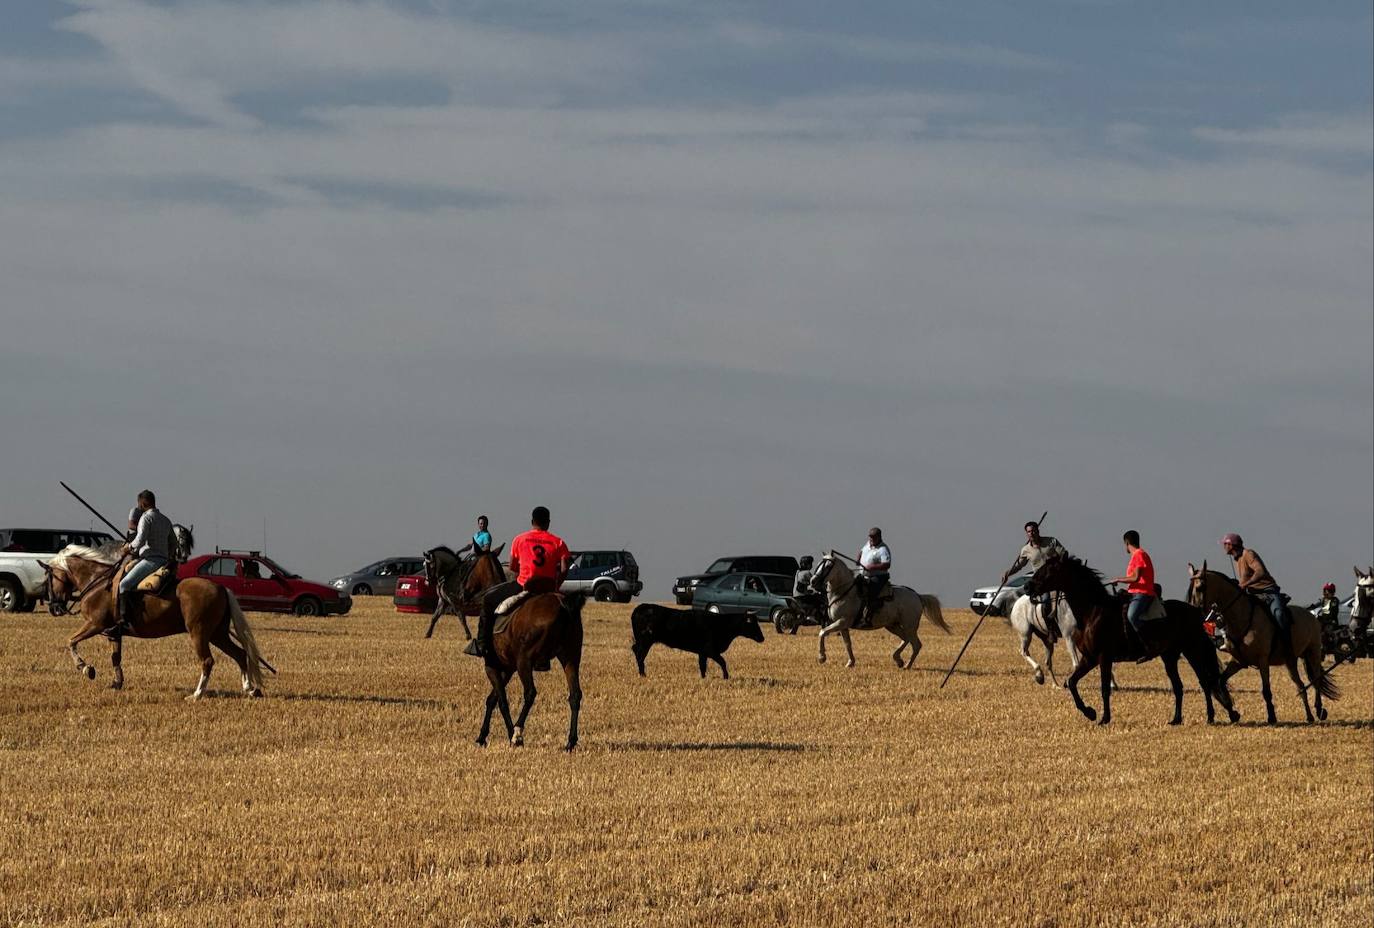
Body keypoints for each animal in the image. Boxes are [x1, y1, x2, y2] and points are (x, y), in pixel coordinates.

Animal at [41, 547, 272, 701]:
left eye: (49, 578)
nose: (54, 608)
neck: (97, 582)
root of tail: (221, 588)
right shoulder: (113, 633)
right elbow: (116, 657)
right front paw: (117, 683)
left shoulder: (95, 625)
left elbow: (71, 641)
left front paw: (86, 668)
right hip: (218, 634)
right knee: (240, 654)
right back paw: (250, 689)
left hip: (199, 633)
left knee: (207, 661)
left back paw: (196, 695)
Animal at [475, 591, 588, 753]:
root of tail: (562, 603)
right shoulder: (508, 669)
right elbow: (492, 699)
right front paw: (482, 737)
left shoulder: (492, 667)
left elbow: (501, 701)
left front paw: (512, 736)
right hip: (570, 657)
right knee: (575, 695)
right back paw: (570, 743)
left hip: (525, 661)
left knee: (530, 693)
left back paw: (517, 733)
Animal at [807, 552, 950, 668]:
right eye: (818, 564)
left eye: (827, 566)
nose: (812, 581)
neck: (844, 592)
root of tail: (917, 596)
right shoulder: (842, 626)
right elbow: (847, 644)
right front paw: (850, 663)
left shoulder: (842, 622)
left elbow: (822, 632)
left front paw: (822, 658)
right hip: (892, 625)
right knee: (906, 639)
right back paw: (898, 659)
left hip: (910, 626)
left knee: (916, 644)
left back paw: (907, 665)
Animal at [1027, 555, 1242, 731]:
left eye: (1049, 570)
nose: (1027, 587)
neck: (1093, 612)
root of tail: (1196, 612)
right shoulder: (1089, 658)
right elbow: (1071, 682)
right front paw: (1090, 712)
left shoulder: (1103, 658)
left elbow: (1104, 688)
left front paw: (1104, 718)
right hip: (1170, 656)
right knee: (1180, 686)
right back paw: (1177, 719)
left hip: (1193, 651)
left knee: (1205, 682)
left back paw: (1212, 717)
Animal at [1187, 558, 1335, 725]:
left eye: (1200, 587)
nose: (1193, 612)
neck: (1242, 616)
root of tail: (1312, 616)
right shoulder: (1238, 661)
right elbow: (1221, 682)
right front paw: (1233, 713)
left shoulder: (1263, 661)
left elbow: (1266, 691)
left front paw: (1271, 717)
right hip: (1291, 662)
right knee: (1301, 686)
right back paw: (1309, 716)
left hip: (1313, 653)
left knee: (1316, 679)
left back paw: (1320, 710)